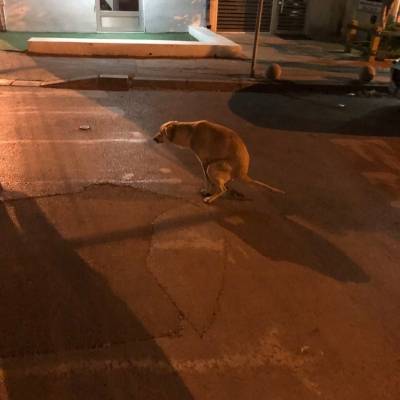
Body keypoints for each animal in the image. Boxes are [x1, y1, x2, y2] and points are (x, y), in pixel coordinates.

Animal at [153, 120, 285, 204]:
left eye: (161, 132)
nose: (153, 139)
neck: (191, 132)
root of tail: (243, 173)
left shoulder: (205, 163)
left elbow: (207, 180)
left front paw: (207, 192)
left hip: (212, 167)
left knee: (222, 189)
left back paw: (211, 199)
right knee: (226, 184)